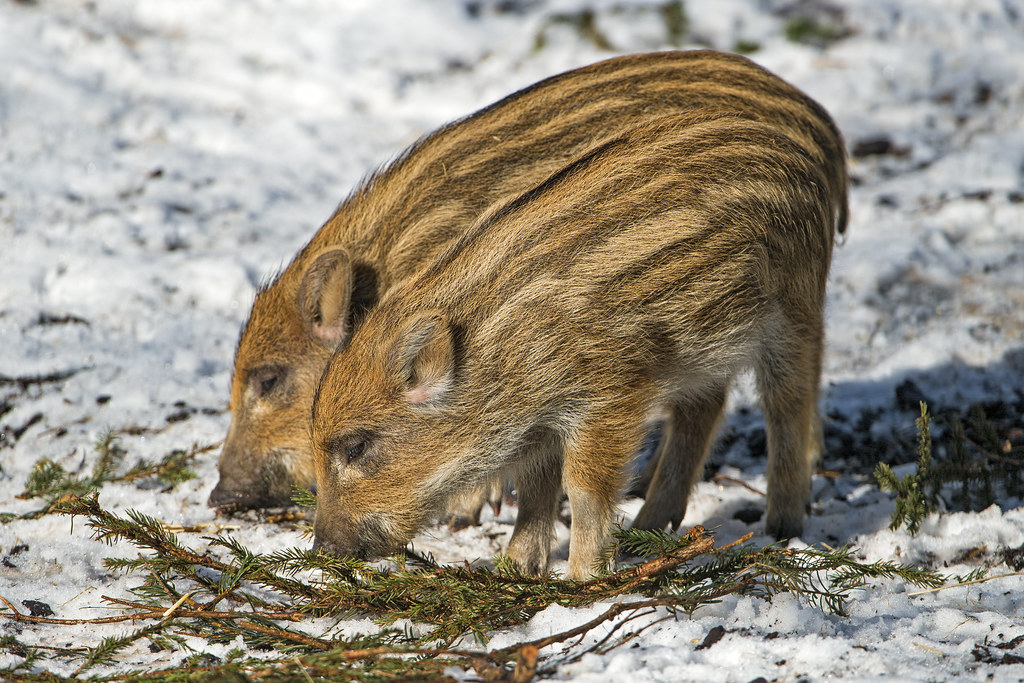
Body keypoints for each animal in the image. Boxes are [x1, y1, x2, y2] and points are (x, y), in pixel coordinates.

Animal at [309, 109, 847, 579]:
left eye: (356, 446)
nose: (322, 549)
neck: (500, 352)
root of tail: (802, 158)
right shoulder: (538, 425)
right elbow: (535, 490)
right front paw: (513, 571)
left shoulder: (609, 396)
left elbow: (584, 490)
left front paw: (583, 580)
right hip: (703, 352)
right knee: (704, 410)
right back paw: (650, 531)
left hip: (794, 312)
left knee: (788, 403)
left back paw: (782, 526)